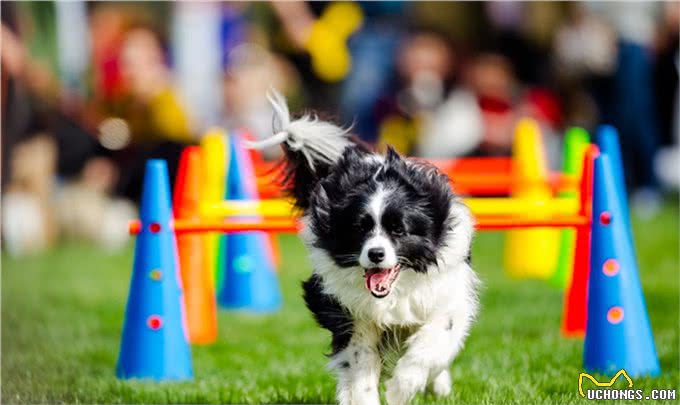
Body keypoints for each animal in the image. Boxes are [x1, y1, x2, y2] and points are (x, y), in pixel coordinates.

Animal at [248, 91, 478, 404]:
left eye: (398, 229)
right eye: (360, 228)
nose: (376, 254)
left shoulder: (447, 300)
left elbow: (430, 346)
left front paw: (400, 388)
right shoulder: (350, 311)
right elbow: (360, 363)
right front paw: (365, 396)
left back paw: (438, 386)